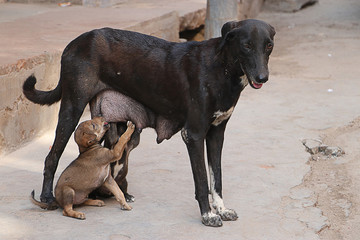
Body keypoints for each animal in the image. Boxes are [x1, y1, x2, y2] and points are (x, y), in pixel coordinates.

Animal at [23, 19, 276, 227]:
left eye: (269, 46)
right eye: (246, 45)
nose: (263, 78)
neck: (221, 68)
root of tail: (73, 43)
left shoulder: (216, 134)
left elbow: (217, 178)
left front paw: (222, 209)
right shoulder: (193, 135)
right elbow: (203, 181)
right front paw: (208, 215)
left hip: (115, 129)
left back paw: (112, 195)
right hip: (72, 109)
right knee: (52, 157)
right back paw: (48, 197)